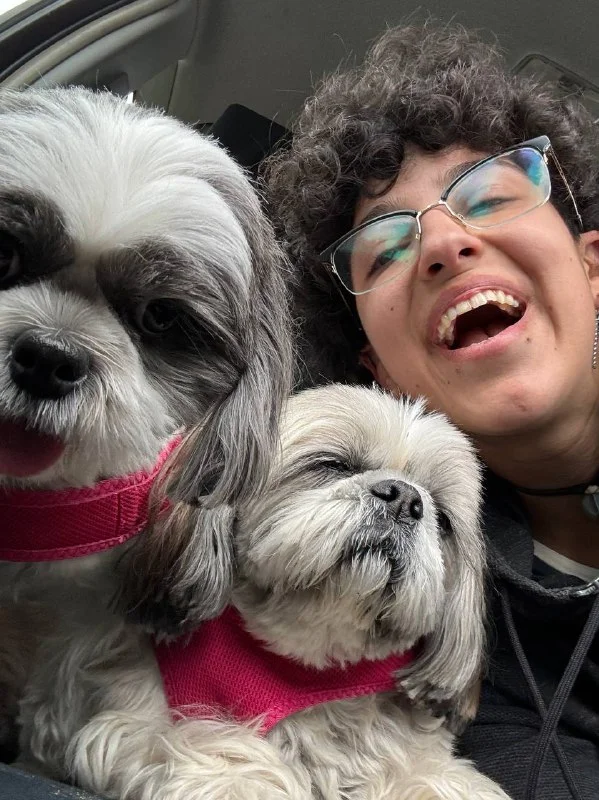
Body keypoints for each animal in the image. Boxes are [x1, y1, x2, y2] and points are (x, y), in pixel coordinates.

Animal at [13, 384, 508, 799]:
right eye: (332, 465)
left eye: (442, 518)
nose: (405, 498)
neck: (295, 665)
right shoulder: (134, 723)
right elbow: (211, 745)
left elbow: (433, 779)